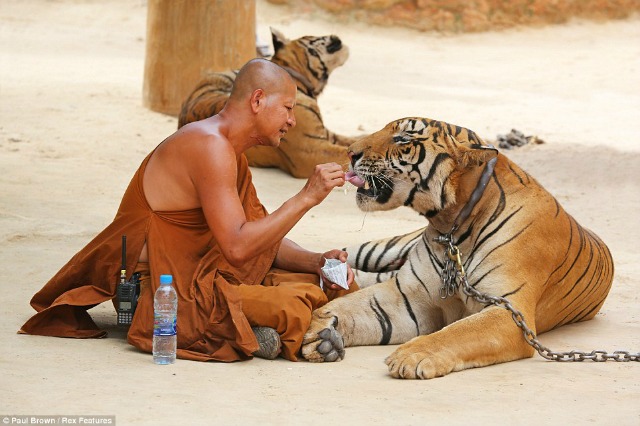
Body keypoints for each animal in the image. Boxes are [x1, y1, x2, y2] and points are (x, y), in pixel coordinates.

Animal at [304, 116, 616, 380]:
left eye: (403, 138)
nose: (349, 153)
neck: (451, 226)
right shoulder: (408, 295)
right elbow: (353, 306)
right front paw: (320, 330)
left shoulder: (510, 311)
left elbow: (458, 332)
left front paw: (411, 356)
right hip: (383, 248)